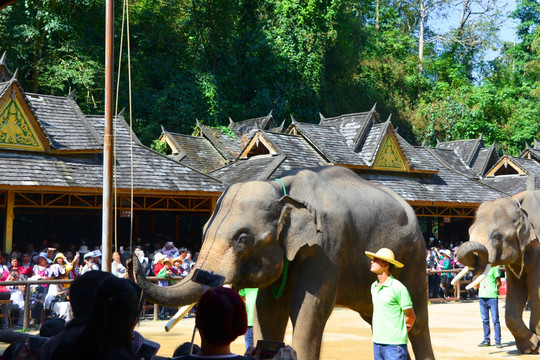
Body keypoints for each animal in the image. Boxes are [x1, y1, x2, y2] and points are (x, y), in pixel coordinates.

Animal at [130, 167, 434, 360]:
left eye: (243, 239)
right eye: (204, 231)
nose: (132, 255)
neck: (283, 188)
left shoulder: (327, 246)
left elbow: (310, 305)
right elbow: (268, 307)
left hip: (414, 256)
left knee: (417, 321)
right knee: (377, 319)